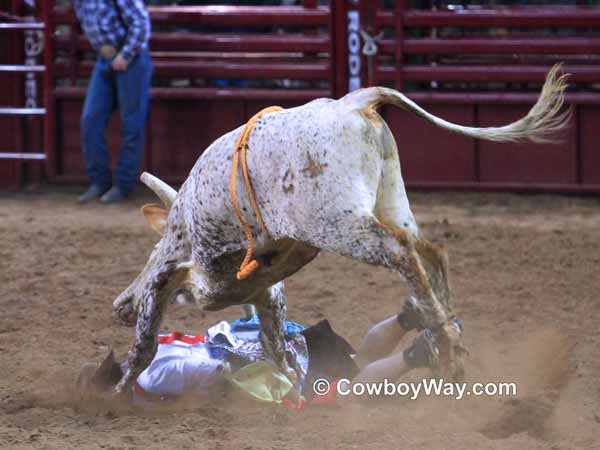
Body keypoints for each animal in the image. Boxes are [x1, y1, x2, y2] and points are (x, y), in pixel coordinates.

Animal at [111, 65, 568, 396]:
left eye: (150, 251)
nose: (120, 304)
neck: (186, 226)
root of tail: (351, 102)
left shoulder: (174, 276)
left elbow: (146, 343)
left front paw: (115, 392)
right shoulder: (265, 292)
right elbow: (276, 347)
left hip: (339, 224)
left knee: (400, 252)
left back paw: (449, 350)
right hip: (390, 200)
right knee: (430, 251)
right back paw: (446, 338)